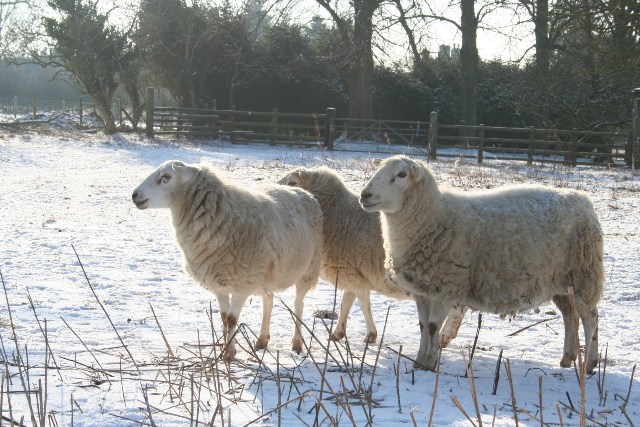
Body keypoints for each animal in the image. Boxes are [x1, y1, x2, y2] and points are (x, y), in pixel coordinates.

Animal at [132, 160, 323, 360]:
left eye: (166, 177)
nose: (134, 195)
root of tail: (304, 192)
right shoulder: (218, 284)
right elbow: (224, 318)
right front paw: (226, 351)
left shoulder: (243, 284)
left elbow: (231, 320)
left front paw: (229, 354)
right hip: (267, 274)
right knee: (268, 301)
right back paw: (262, 340)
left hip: (308, 269)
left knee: (298, 305)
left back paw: (297, 343)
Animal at [278, 166, 466, 346]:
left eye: (292, 182)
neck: (339, 215)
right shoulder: (351, 273)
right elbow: (347, 302)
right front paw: (339, 333)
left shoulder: (353, 274)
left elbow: (362, 303)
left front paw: (368, 334)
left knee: (457, 311)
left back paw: (444, 337)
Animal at [360, 155, 604, 373]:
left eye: (401, 175)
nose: (364, 195)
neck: (432, 217)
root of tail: (582, 199)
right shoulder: (423, 290)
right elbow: (422, 327)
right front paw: (419, 360)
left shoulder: (447, 287)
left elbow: (432, 328)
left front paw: (430, 363)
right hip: (561, 280)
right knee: (569, 315)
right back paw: (567, 357)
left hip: (583, 274)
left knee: (589, 317)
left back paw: (590, 364)